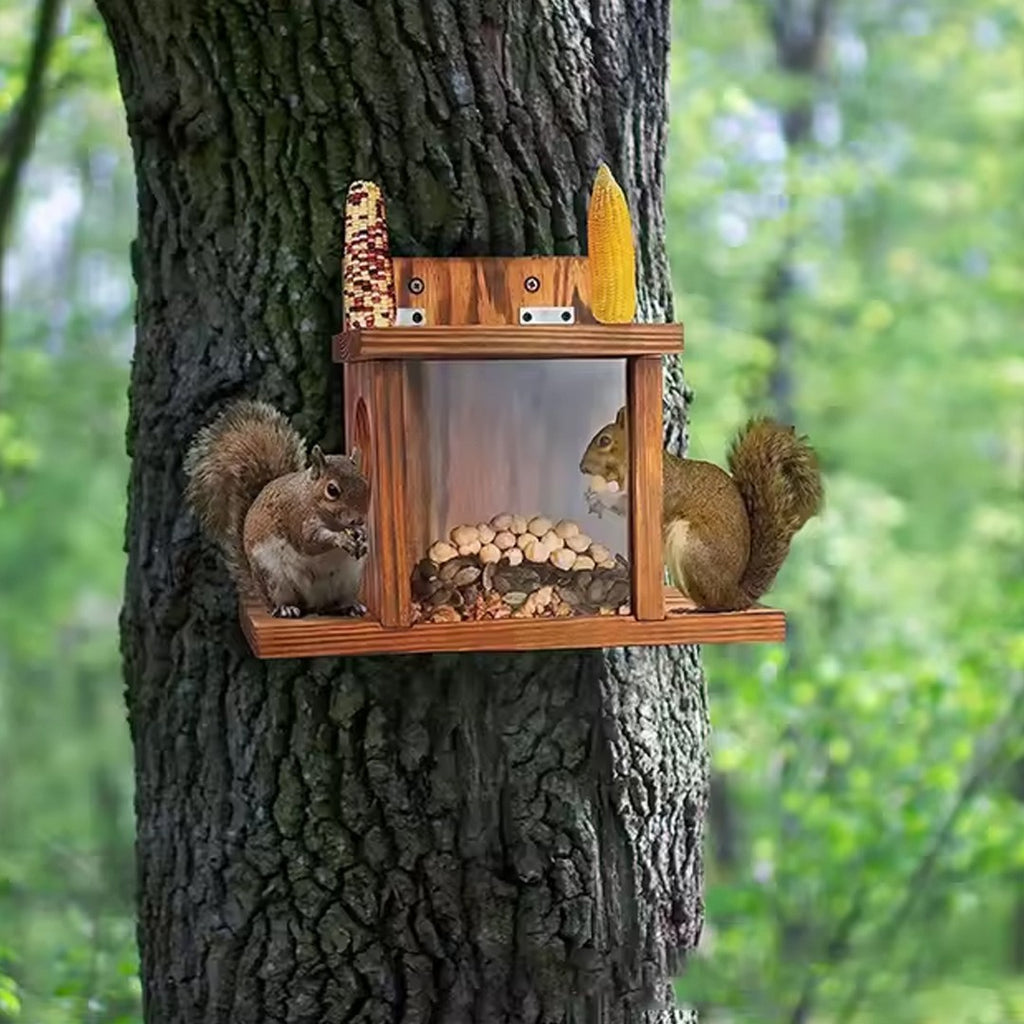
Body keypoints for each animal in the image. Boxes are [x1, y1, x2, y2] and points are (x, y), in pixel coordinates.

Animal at [183, 400, 371, 619]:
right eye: (332, 490)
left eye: (366, 484)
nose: (358, 520)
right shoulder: (296, 517)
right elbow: (310, 541)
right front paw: (341, 538)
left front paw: (362, 536)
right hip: (273, 577)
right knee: (282, 600)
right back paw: (286, 608)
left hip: (349, 579)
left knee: (333, 603)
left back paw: (350, 606)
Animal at [579, 407, 823, 611]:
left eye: (604, 440)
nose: (582, 468)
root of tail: (735, 594)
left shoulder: (663, 490)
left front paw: (601, 496)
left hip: (692, 548)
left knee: (716, 604)